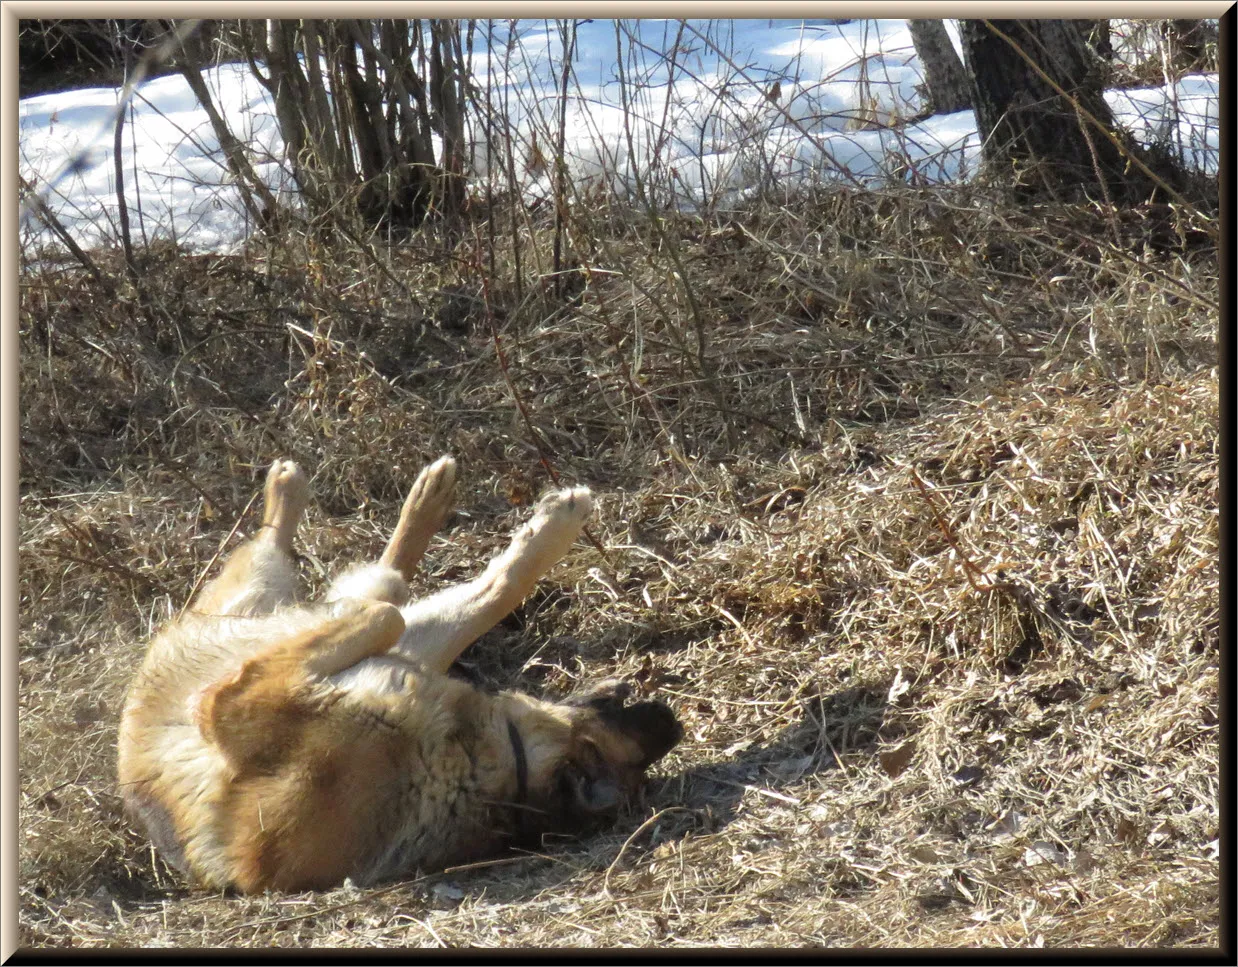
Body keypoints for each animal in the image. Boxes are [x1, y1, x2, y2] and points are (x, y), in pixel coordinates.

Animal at [116, 455, 683, 896]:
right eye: (612, 709)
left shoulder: (234, 703)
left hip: (257, 596)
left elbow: (382, 612)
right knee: (430, 592)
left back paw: (298, 491)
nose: (671, 720)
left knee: (371, 584)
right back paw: (422, 497)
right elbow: (396, 608)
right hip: (361, 636)